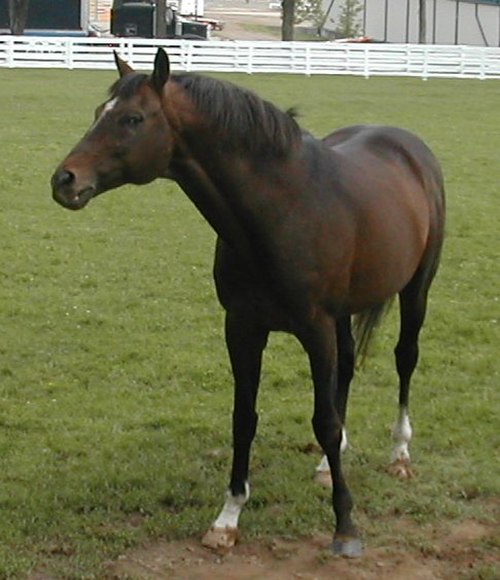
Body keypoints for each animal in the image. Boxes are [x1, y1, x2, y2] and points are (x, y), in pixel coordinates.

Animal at [50, 46, 446, 556]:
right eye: (101, 111)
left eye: (133, 118)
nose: (65, 180)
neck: (282, 209)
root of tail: (410, 147)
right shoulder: (242, 326)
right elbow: (245, 418)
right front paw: (228, 517)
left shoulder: (314, 329)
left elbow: (323, 420)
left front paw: (345, 526)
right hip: (342, 315)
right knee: (347, 367)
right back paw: (328, 465)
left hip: (416, 289)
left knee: (405, 358)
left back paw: (399, 452)